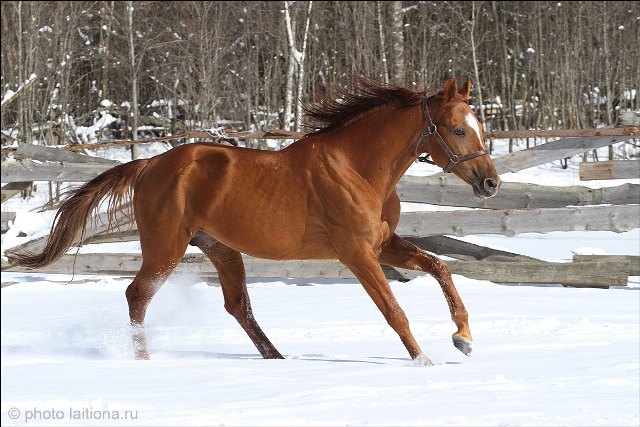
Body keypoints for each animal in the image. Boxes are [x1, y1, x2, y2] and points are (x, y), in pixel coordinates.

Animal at [11, 76, 500, 364]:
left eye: (481, 127)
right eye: (458, 129)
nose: (491, 183)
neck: (359, 169)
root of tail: (150, 165)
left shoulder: (383, 244)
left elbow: (440, 267)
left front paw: (463, 337)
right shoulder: (357, 253)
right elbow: (393, 310)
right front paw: (424, 362)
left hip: (221, 249)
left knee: (238, 306)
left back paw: (276, 357)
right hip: (166, 249)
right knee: (137, 295)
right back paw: (144, 361)